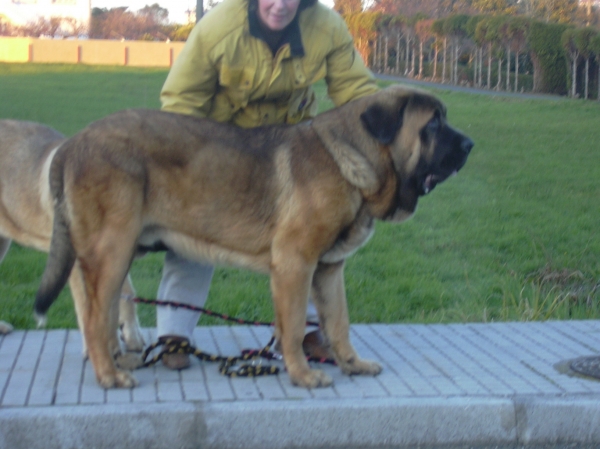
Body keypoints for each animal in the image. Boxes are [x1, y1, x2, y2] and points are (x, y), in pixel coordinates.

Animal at [34, 86, 474, 386]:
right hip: (112, 251)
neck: (352, 162)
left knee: (104, 315)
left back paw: (117, 362)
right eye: (433, 124)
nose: (470, 144)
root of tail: (73, 143)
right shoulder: (295, 265)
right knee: (94, 318)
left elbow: (339, 323)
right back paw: (110, 375)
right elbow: (292, 327)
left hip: (116, 256)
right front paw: (303, 375)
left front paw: (351, 363)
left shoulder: (328, 271)